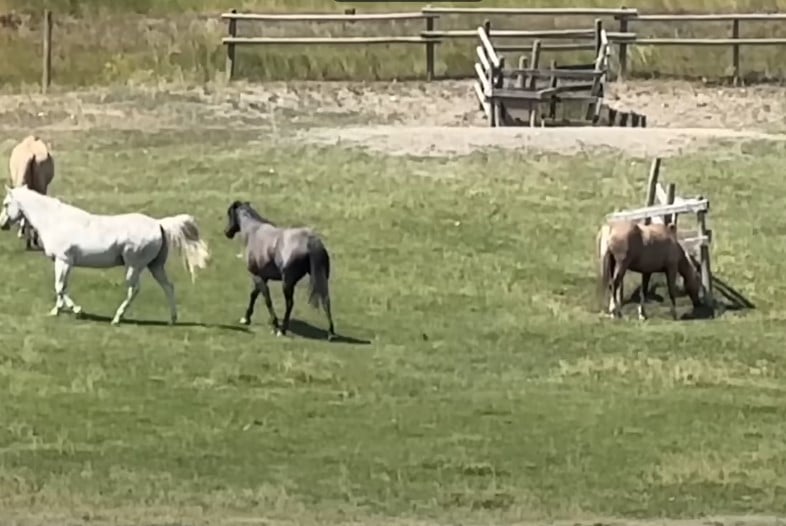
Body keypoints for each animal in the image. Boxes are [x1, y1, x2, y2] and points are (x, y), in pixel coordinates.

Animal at [0, 186, 210, 326]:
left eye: (6, 203)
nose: (2, 224)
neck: (55, 221)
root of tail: (159, 224)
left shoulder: (64, 260)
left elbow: (60, 287)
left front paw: (77, 310)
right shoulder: (65, 263)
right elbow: (62, 287)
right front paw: (56, 311)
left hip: (133, 266)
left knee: (134, 290)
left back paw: (117, 318)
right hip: (155, 266)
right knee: (168, 287)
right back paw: (172, 319)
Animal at [222, 200, 336, 340]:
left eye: (229, 213)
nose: (227, 232)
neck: (254, 232)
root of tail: (310, 241)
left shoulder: (257, 276)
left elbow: (267, 299)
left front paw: (275, 325)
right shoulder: (263, 276)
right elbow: (254, 295)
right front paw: (246, 318)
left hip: (287, 283)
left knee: (290, 303)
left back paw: (282, 330)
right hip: (321, 278)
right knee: (326, 300)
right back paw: (331, 333)